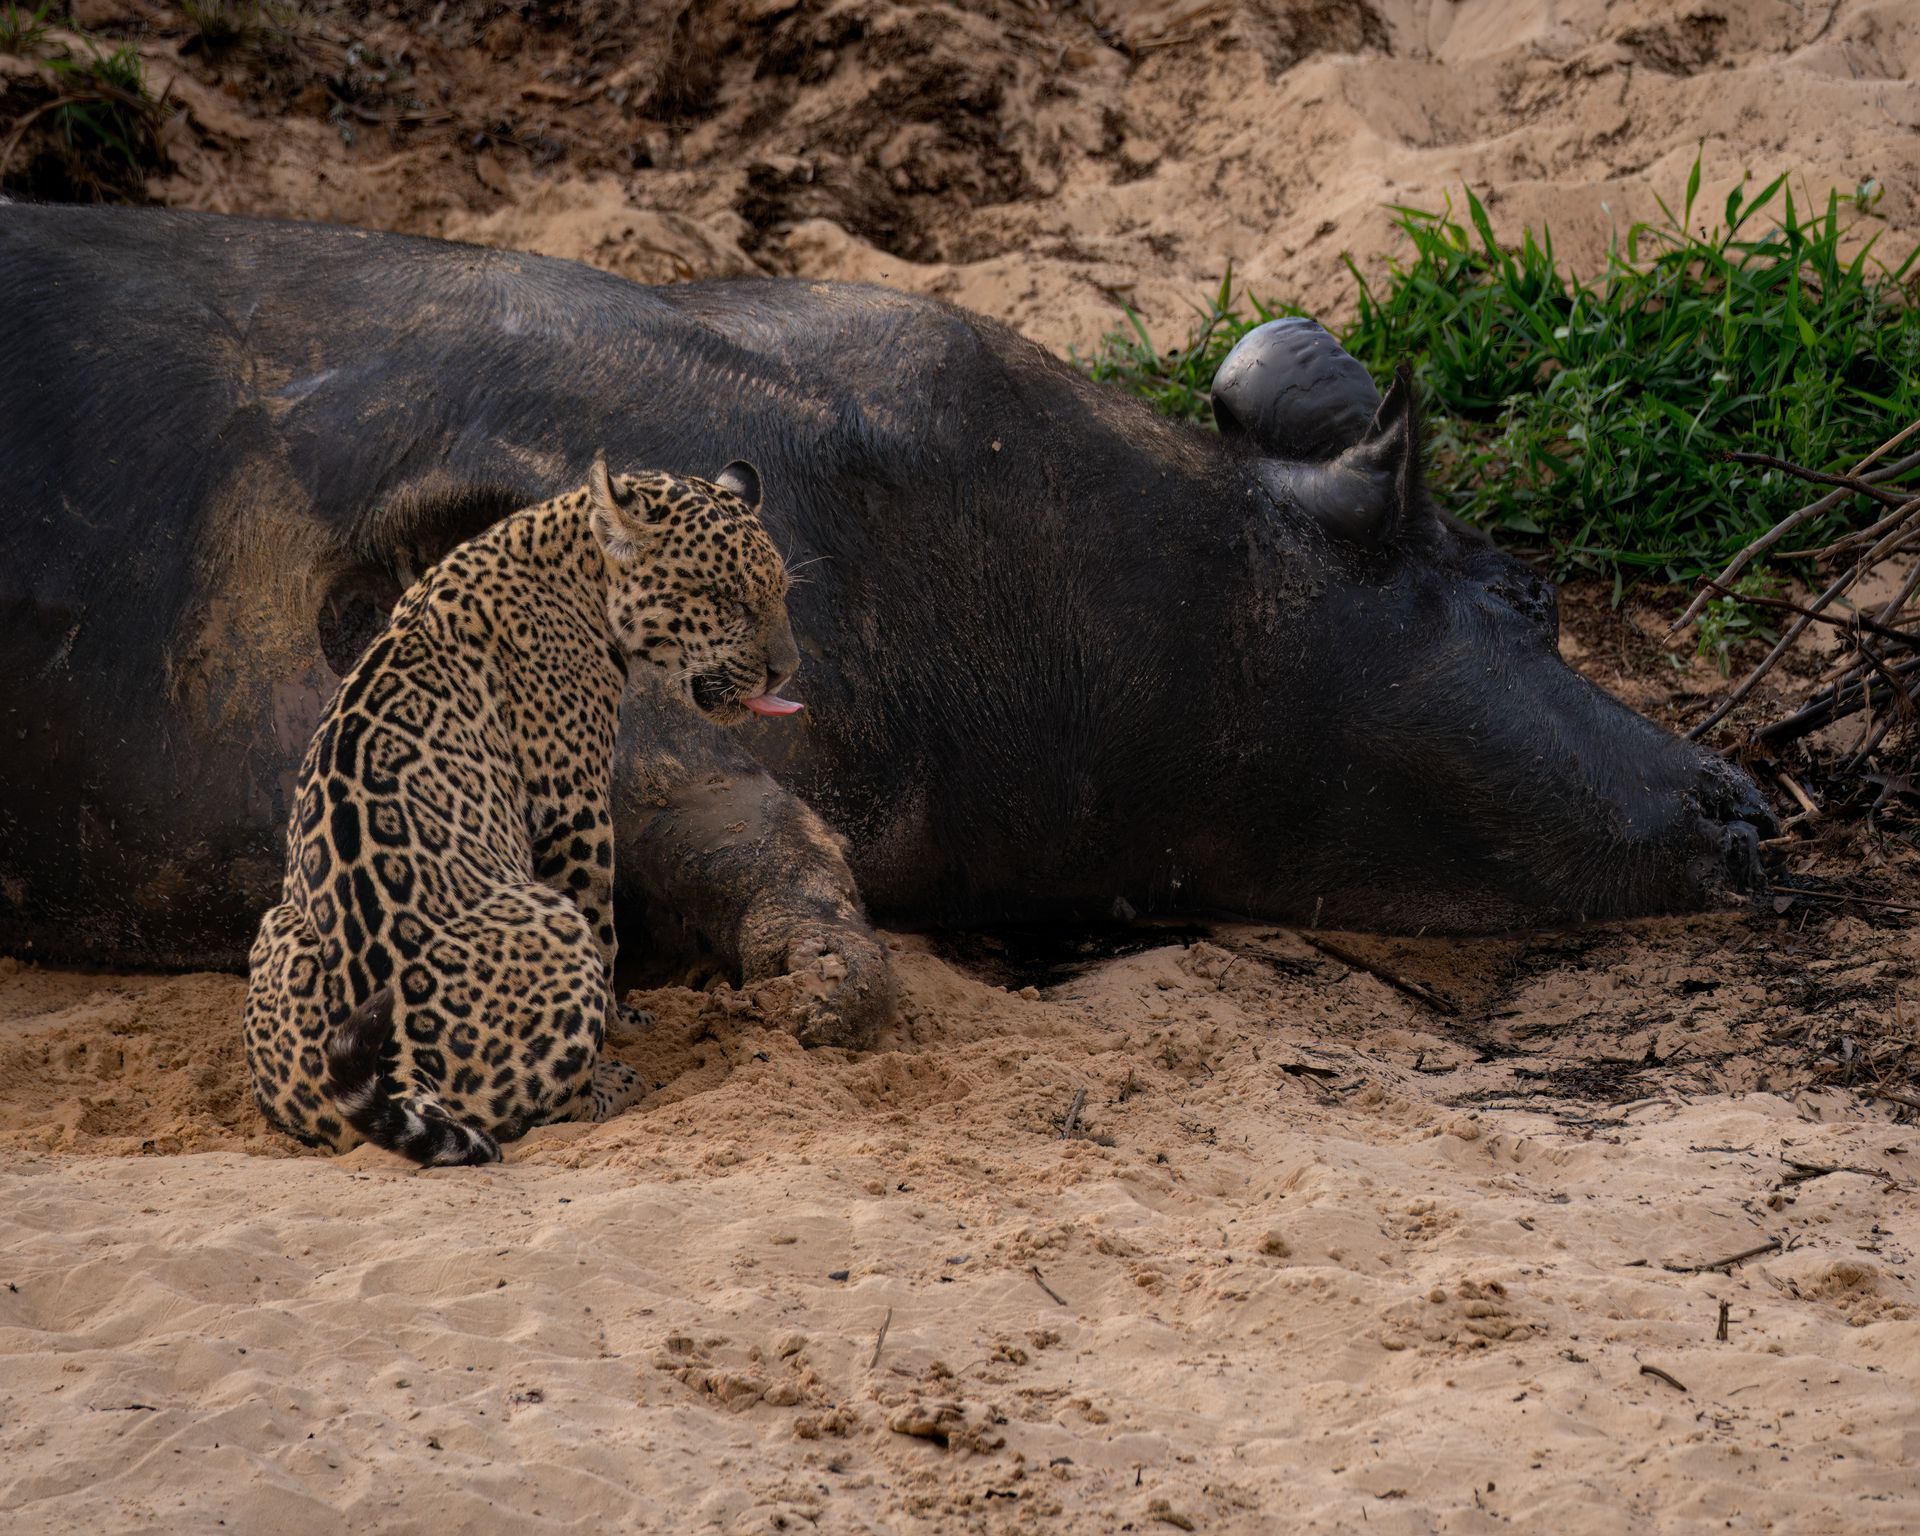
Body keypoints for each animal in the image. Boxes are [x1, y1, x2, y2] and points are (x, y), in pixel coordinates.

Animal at [244, 455, 803, 1165]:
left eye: (780, 592)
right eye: (727, 600)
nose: (786, 671)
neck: (575, 558)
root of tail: (401, 1068)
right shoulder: (574, 801)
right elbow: (606, 925)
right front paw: (623, 1023)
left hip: (275, 932)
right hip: (552, 921)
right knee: (546, 1107)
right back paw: (616, 1083)